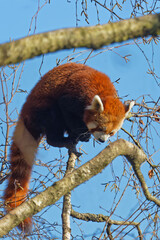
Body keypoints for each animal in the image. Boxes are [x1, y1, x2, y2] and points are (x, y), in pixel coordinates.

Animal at [3, 62, 134, 231]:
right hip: (42, 108)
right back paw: (61, 140)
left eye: (111, 133)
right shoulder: (74, 96)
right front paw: (79, 132)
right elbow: (65, 108)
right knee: (54, 116)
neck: (102, 91)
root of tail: (26, 111)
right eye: (100, 128)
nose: (102, 140)